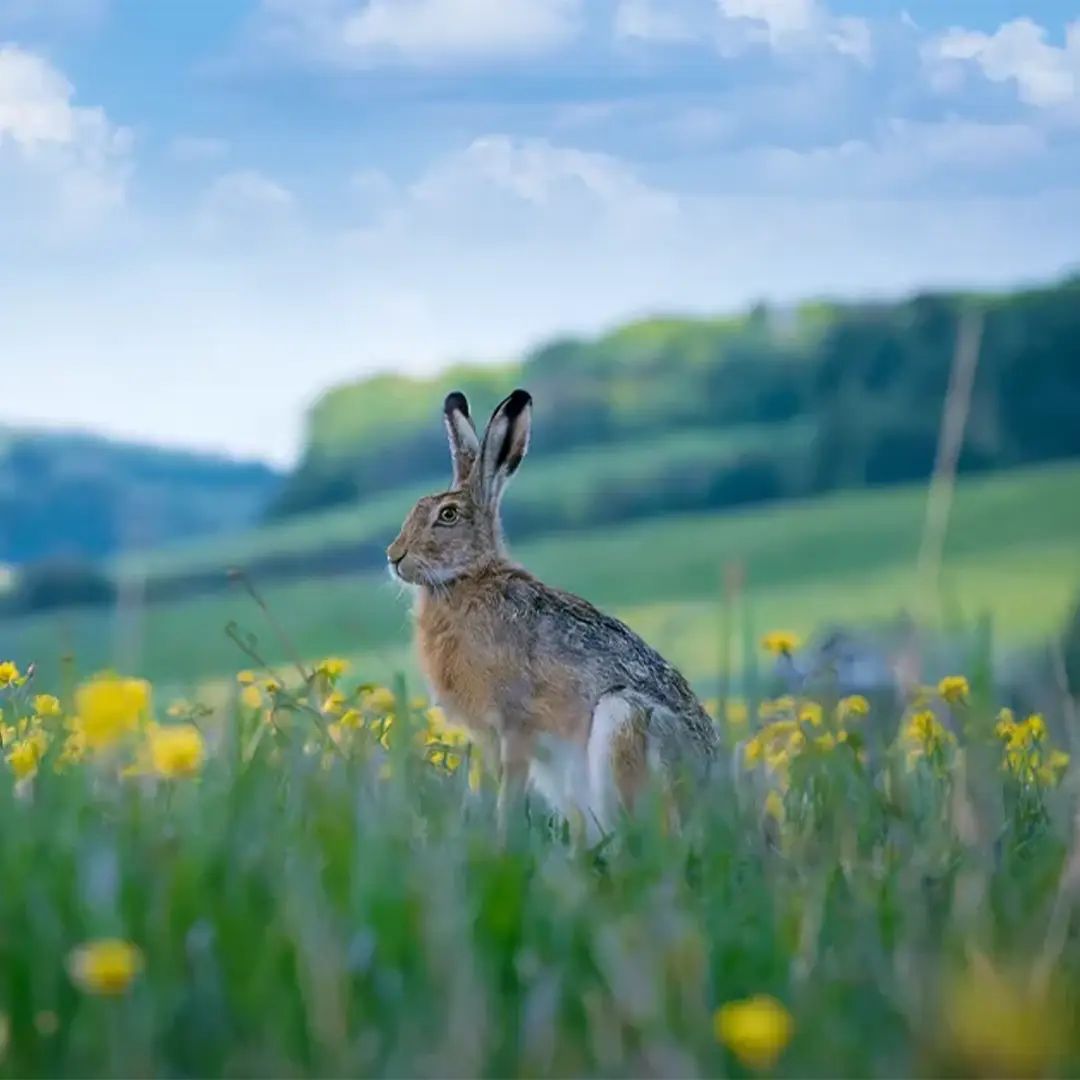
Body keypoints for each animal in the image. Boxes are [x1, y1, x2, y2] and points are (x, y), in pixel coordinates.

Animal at [386, 388, 720, 845]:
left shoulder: (515, 725)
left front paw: (501, 841)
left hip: (624, 721)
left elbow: (509, 790)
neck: (468, 578)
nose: (393, 556)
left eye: (448, 515)